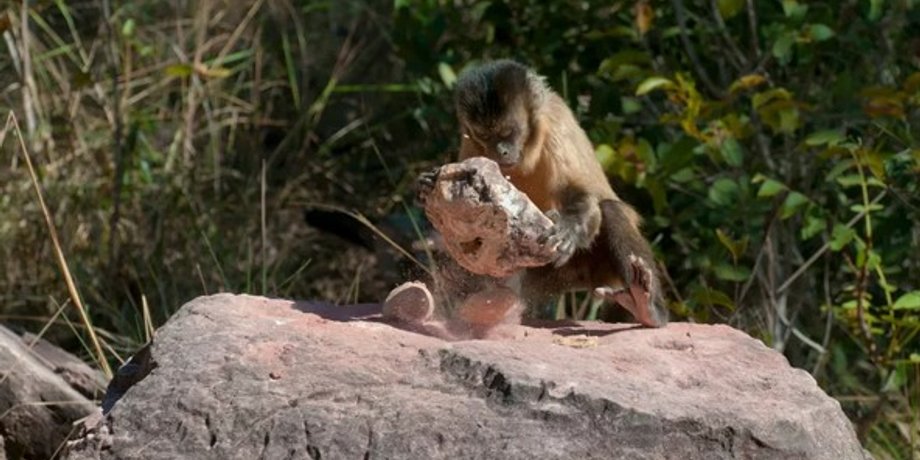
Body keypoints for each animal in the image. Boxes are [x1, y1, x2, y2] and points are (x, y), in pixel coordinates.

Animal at [419, 59, 668, 328]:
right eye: (485, 136)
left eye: (507, 132)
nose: (500, 151)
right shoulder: (470, 140)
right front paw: (428, 183)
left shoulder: (555, 125)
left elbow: (578, 192)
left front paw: (569, 228)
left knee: (610, 211)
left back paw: (645, 306)